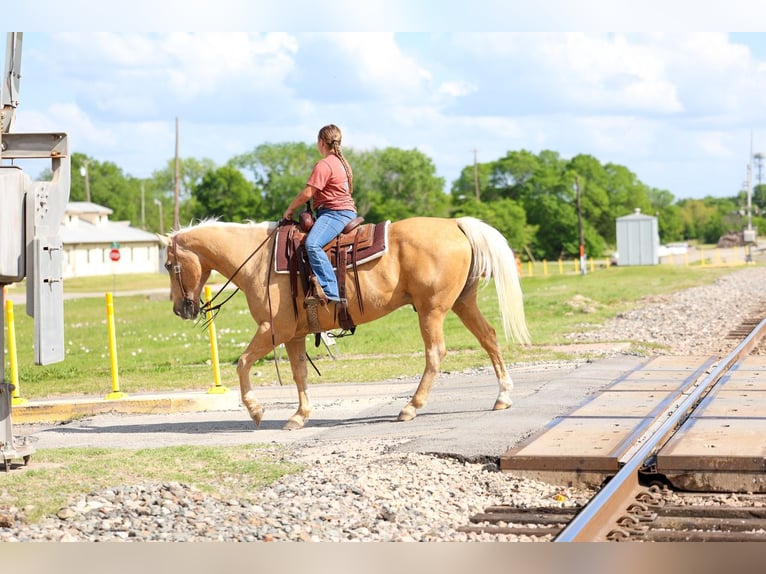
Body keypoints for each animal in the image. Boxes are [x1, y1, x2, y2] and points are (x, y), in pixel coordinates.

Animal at [161, 216, 530, 430]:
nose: (180, 309)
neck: (258, 260)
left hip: (432, 310)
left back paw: (411, 407)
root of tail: (455, 223)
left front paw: (255, 410)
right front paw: (299, 416)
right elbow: (299, 374)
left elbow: (242, 362)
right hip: (462, 303)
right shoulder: (294, 335)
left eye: (167, 265)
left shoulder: (272, 330)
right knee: (489, 338)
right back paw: (503, 396)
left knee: (435, 354)